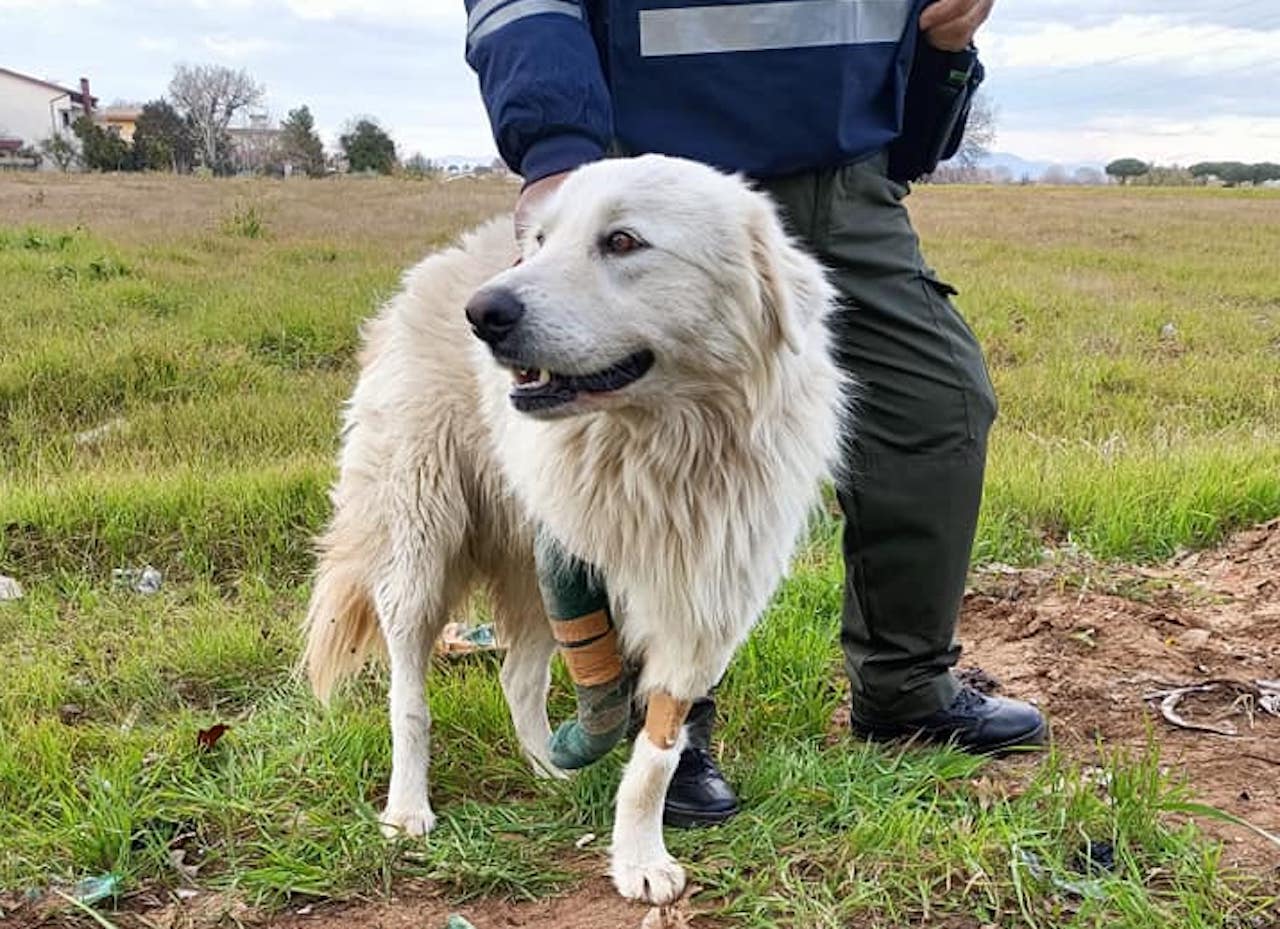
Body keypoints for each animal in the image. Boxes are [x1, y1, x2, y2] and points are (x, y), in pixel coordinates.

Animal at [303, 156, 844, 905]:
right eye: (539, 242)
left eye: (622, 241)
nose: (483, 313)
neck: (663, 451)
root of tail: (430, 272)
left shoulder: (705, 609)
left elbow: (655, 756)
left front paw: (638, 855)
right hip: (421, 545)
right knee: (408, 693)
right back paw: (407, 808)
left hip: (529, 578)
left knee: (516, 678)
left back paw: (548, 767)